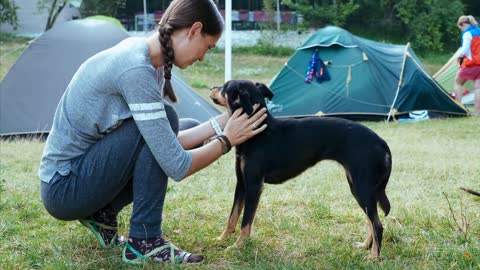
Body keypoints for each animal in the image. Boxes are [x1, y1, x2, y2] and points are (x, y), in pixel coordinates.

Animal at [211, 79, 394, 258]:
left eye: (225, 87)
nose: (212, 88)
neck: (258, 131)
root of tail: (381, 142)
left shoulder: (254, 186)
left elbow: (245, 221)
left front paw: (238, 246)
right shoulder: (241, 183)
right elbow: (233, 216)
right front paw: (222, 239)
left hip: (361, 188)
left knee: (377, 224)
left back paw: (373, 257)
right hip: (361, 188)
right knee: (371, 221)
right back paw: (365, 246)